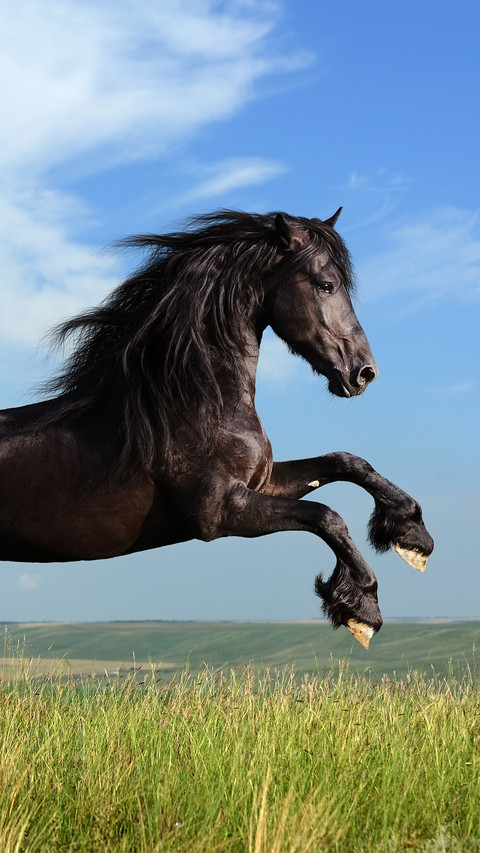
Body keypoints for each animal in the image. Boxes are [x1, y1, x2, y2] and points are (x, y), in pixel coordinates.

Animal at [0, 208, 433, 648]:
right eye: (325, 284)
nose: (364, 373)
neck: (192, 405)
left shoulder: (262, 483)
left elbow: (346, 462)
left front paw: (411, 534)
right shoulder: (222, 513)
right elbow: (327, 516)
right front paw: (362, 608)